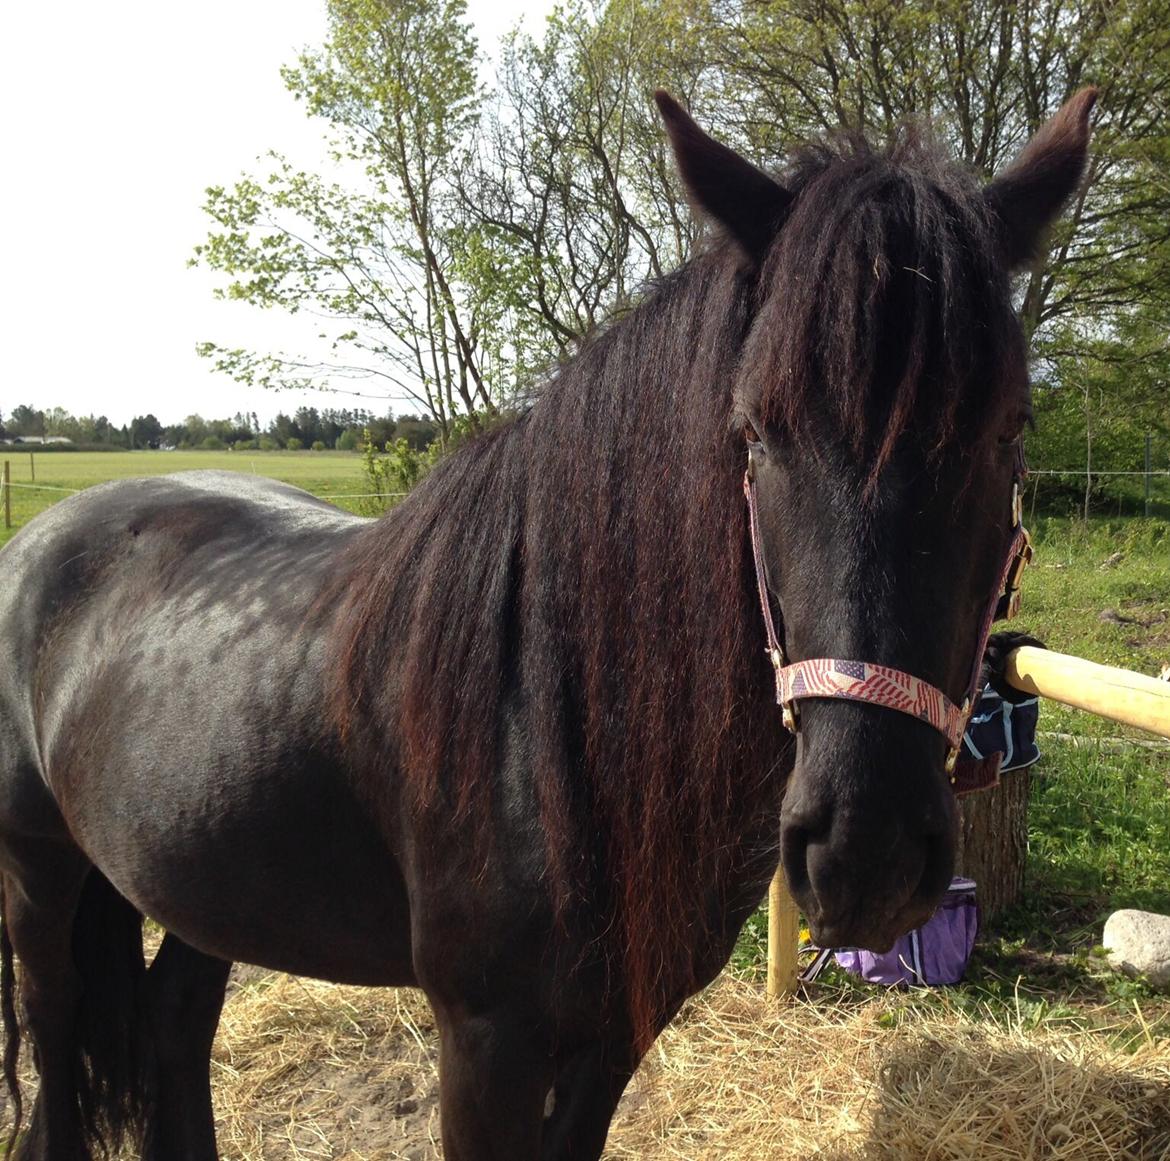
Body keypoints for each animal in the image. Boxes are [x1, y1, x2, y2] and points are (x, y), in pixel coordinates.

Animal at [0, 86, 1095, 1160]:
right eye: (755, 433)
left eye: (1010, 429)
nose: (866, 855)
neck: (545, 714)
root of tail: (41, 538)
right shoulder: (485, 1043)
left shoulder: (619, 1030)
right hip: (39, 872)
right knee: (56, 1038)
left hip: (208, 878)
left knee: (175, 1021)